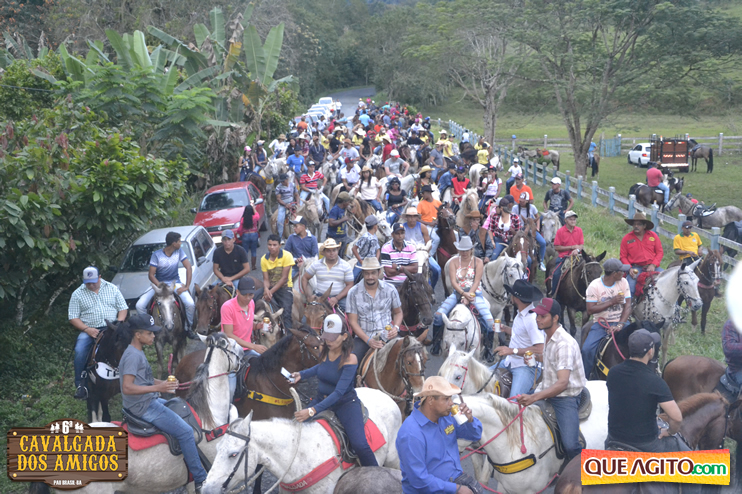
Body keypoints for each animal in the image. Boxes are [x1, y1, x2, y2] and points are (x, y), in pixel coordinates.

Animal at [200, 388, 402, 494]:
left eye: (233, 454)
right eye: (217, 449)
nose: (206, 489)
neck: (299, 459)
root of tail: (385, 395)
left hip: (394, 460)